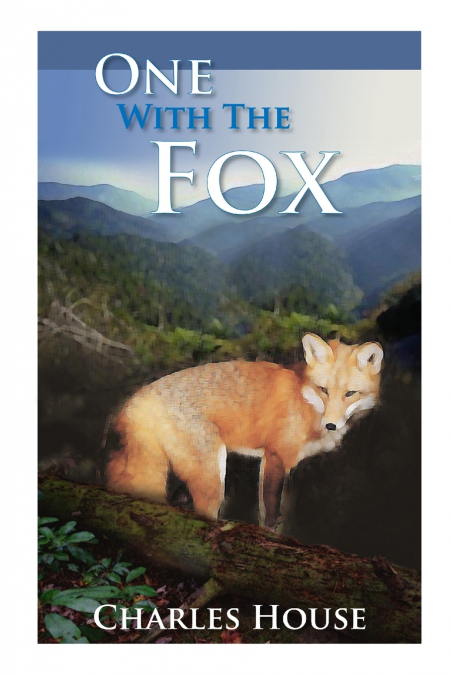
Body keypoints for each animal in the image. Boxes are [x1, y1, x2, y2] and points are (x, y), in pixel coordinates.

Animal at [105, 333, 383, 528]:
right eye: (323, 390)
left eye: (350, 393)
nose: (331, 424)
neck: (305, 400)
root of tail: (138, 398)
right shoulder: (275, 457)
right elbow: (270, 514)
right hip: (212, 477)